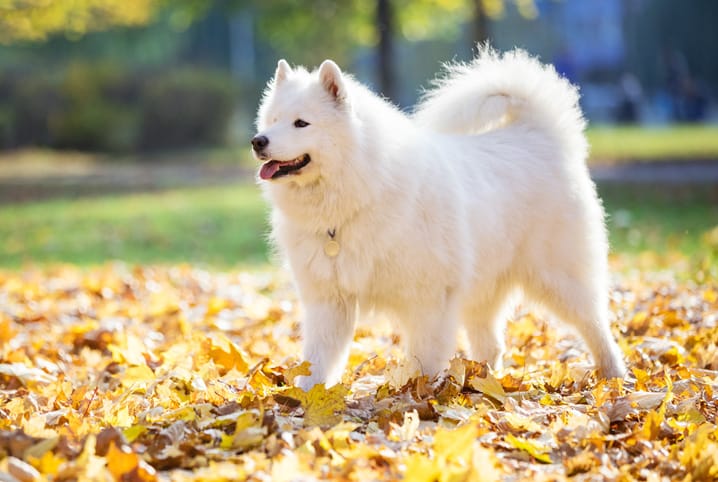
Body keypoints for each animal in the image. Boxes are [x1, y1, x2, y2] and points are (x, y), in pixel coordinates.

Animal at [256, 48, 628, 388]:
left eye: (301, 123)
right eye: (272, 120)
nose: (258, 141)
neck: (361, 190)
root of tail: (538, 135)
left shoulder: (429, 299)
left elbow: (425, 357)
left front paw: (418, 396)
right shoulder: (329, 301)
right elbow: (317, 360)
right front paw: (306, 398)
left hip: (560, 278)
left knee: (595, 325)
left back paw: (614, 375)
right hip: (484, 289)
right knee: (492, 346)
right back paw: (484, 383)